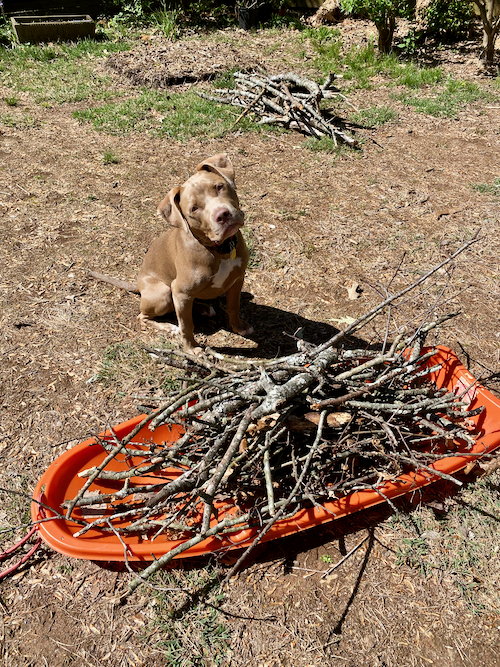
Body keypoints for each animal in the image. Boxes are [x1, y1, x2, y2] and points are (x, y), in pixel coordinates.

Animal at [87, 154, 254, 354]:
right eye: (194, 209)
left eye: (219, 187)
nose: (222, 214)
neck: (219, 250)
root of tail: (139, 285)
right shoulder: (180, 290)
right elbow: (187, 325)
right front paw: (192, 349)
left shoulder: (237, 279)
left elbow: (233, 306)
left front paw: (240, 327)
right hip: (164, 292)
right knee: (144, 316)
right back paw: (170, 326)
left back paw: (203, 308)